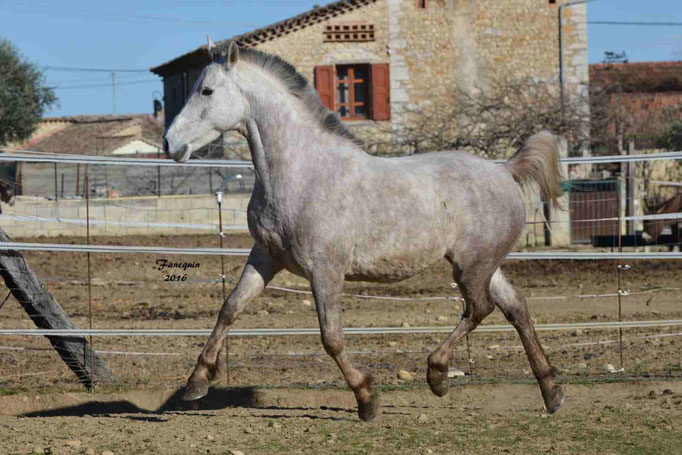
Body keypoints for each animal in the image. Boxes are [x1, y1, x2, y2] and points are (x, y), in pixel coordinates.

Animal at [163, 41, 564, 422]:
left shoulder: (325, 270)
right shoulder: (265, 257)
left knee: (480, 308)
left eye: (207, 91)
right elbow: (229, 308)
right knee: (515, 307)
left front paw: (367, 399)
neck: (302, 173)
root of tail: (505, 170)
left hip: (471, 266)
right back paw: (551, 391)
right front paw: (197, 381)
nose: (169, 143)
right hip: (484, 265)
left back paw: (438, 375)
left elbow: (332, 338)